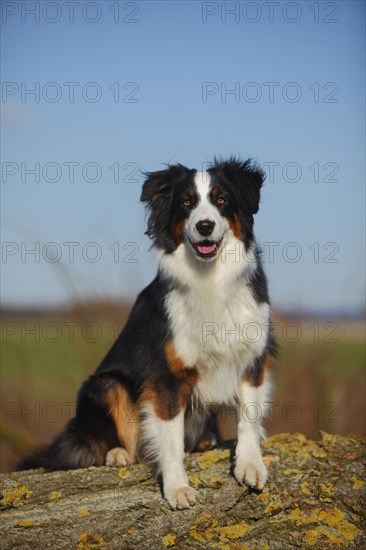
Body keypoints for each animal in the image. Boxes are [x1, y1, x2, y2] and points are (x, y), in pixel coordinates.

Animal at [20, 157, 274, 512]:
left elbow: (248, 418)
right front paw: (177, 487)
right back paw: (118, 454)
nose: (204, 226)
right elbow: (169, 440)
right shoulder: (165, 377)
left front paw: (250, 466)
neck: (209, 278)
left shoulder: (252, 357)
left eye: (221, 199)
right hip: (106, 385)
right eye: (186, 203)